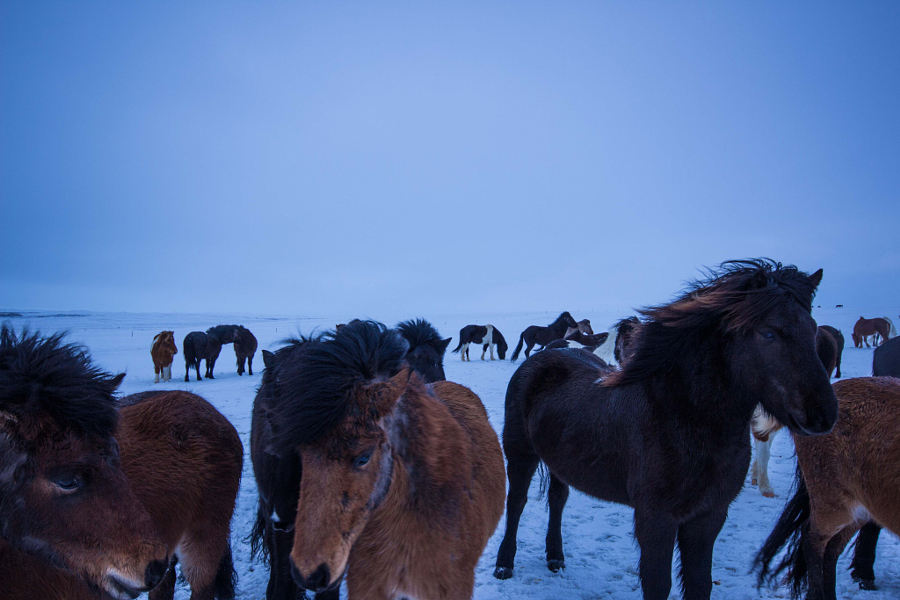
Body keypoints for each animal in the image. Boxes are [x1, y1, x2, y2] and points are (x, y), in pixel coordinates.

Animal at [492, 258, 836, 600]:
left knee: (557, 500)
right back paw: (504, 565)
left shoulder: (708, 517)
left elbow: (699, 583)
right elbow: (658, 584)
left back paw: (555, 558)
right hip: (521, 454)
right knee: (516, 504)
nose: (823, 415)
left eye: (813, 329)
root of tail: (547, 354)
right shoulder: (655, 519)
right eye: (768, 333)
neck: (686, 419)